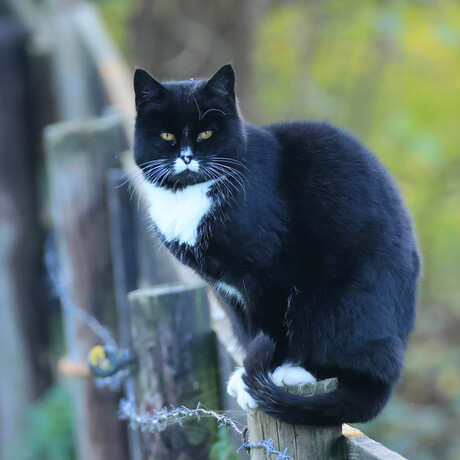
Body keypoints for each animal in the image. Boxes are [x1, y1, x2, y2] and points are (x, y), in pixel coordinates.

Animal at [133, 63, 420, 424]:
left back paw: (294, 374)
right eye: (167, 136)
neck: (188, 196)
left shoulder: (273, 273)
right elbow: (248, 331)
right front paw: (242, 376)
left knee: (353, 361)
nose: (186, 157)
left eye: (207, 134)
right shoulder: (228, 290)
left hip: (338, 299)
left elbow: (270, 330)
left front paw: (257, 380)